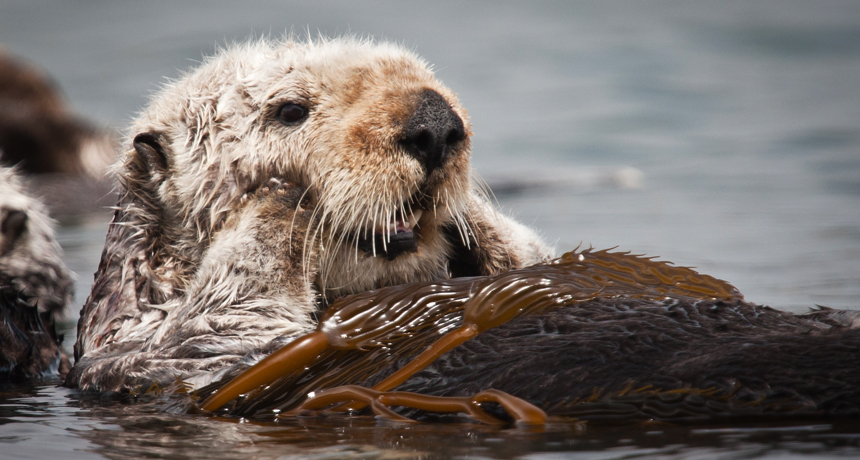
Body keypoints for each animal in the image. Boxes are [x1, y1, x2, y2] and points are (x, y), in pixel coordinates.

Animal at [65, 37, 552, 394]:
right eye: (291, 110)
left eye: (428, 80)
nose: (434, 124)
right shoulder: (151, 351)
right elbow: (224, 321)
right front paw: (280, 199)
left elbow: (536, 257)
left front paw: (474, 217)